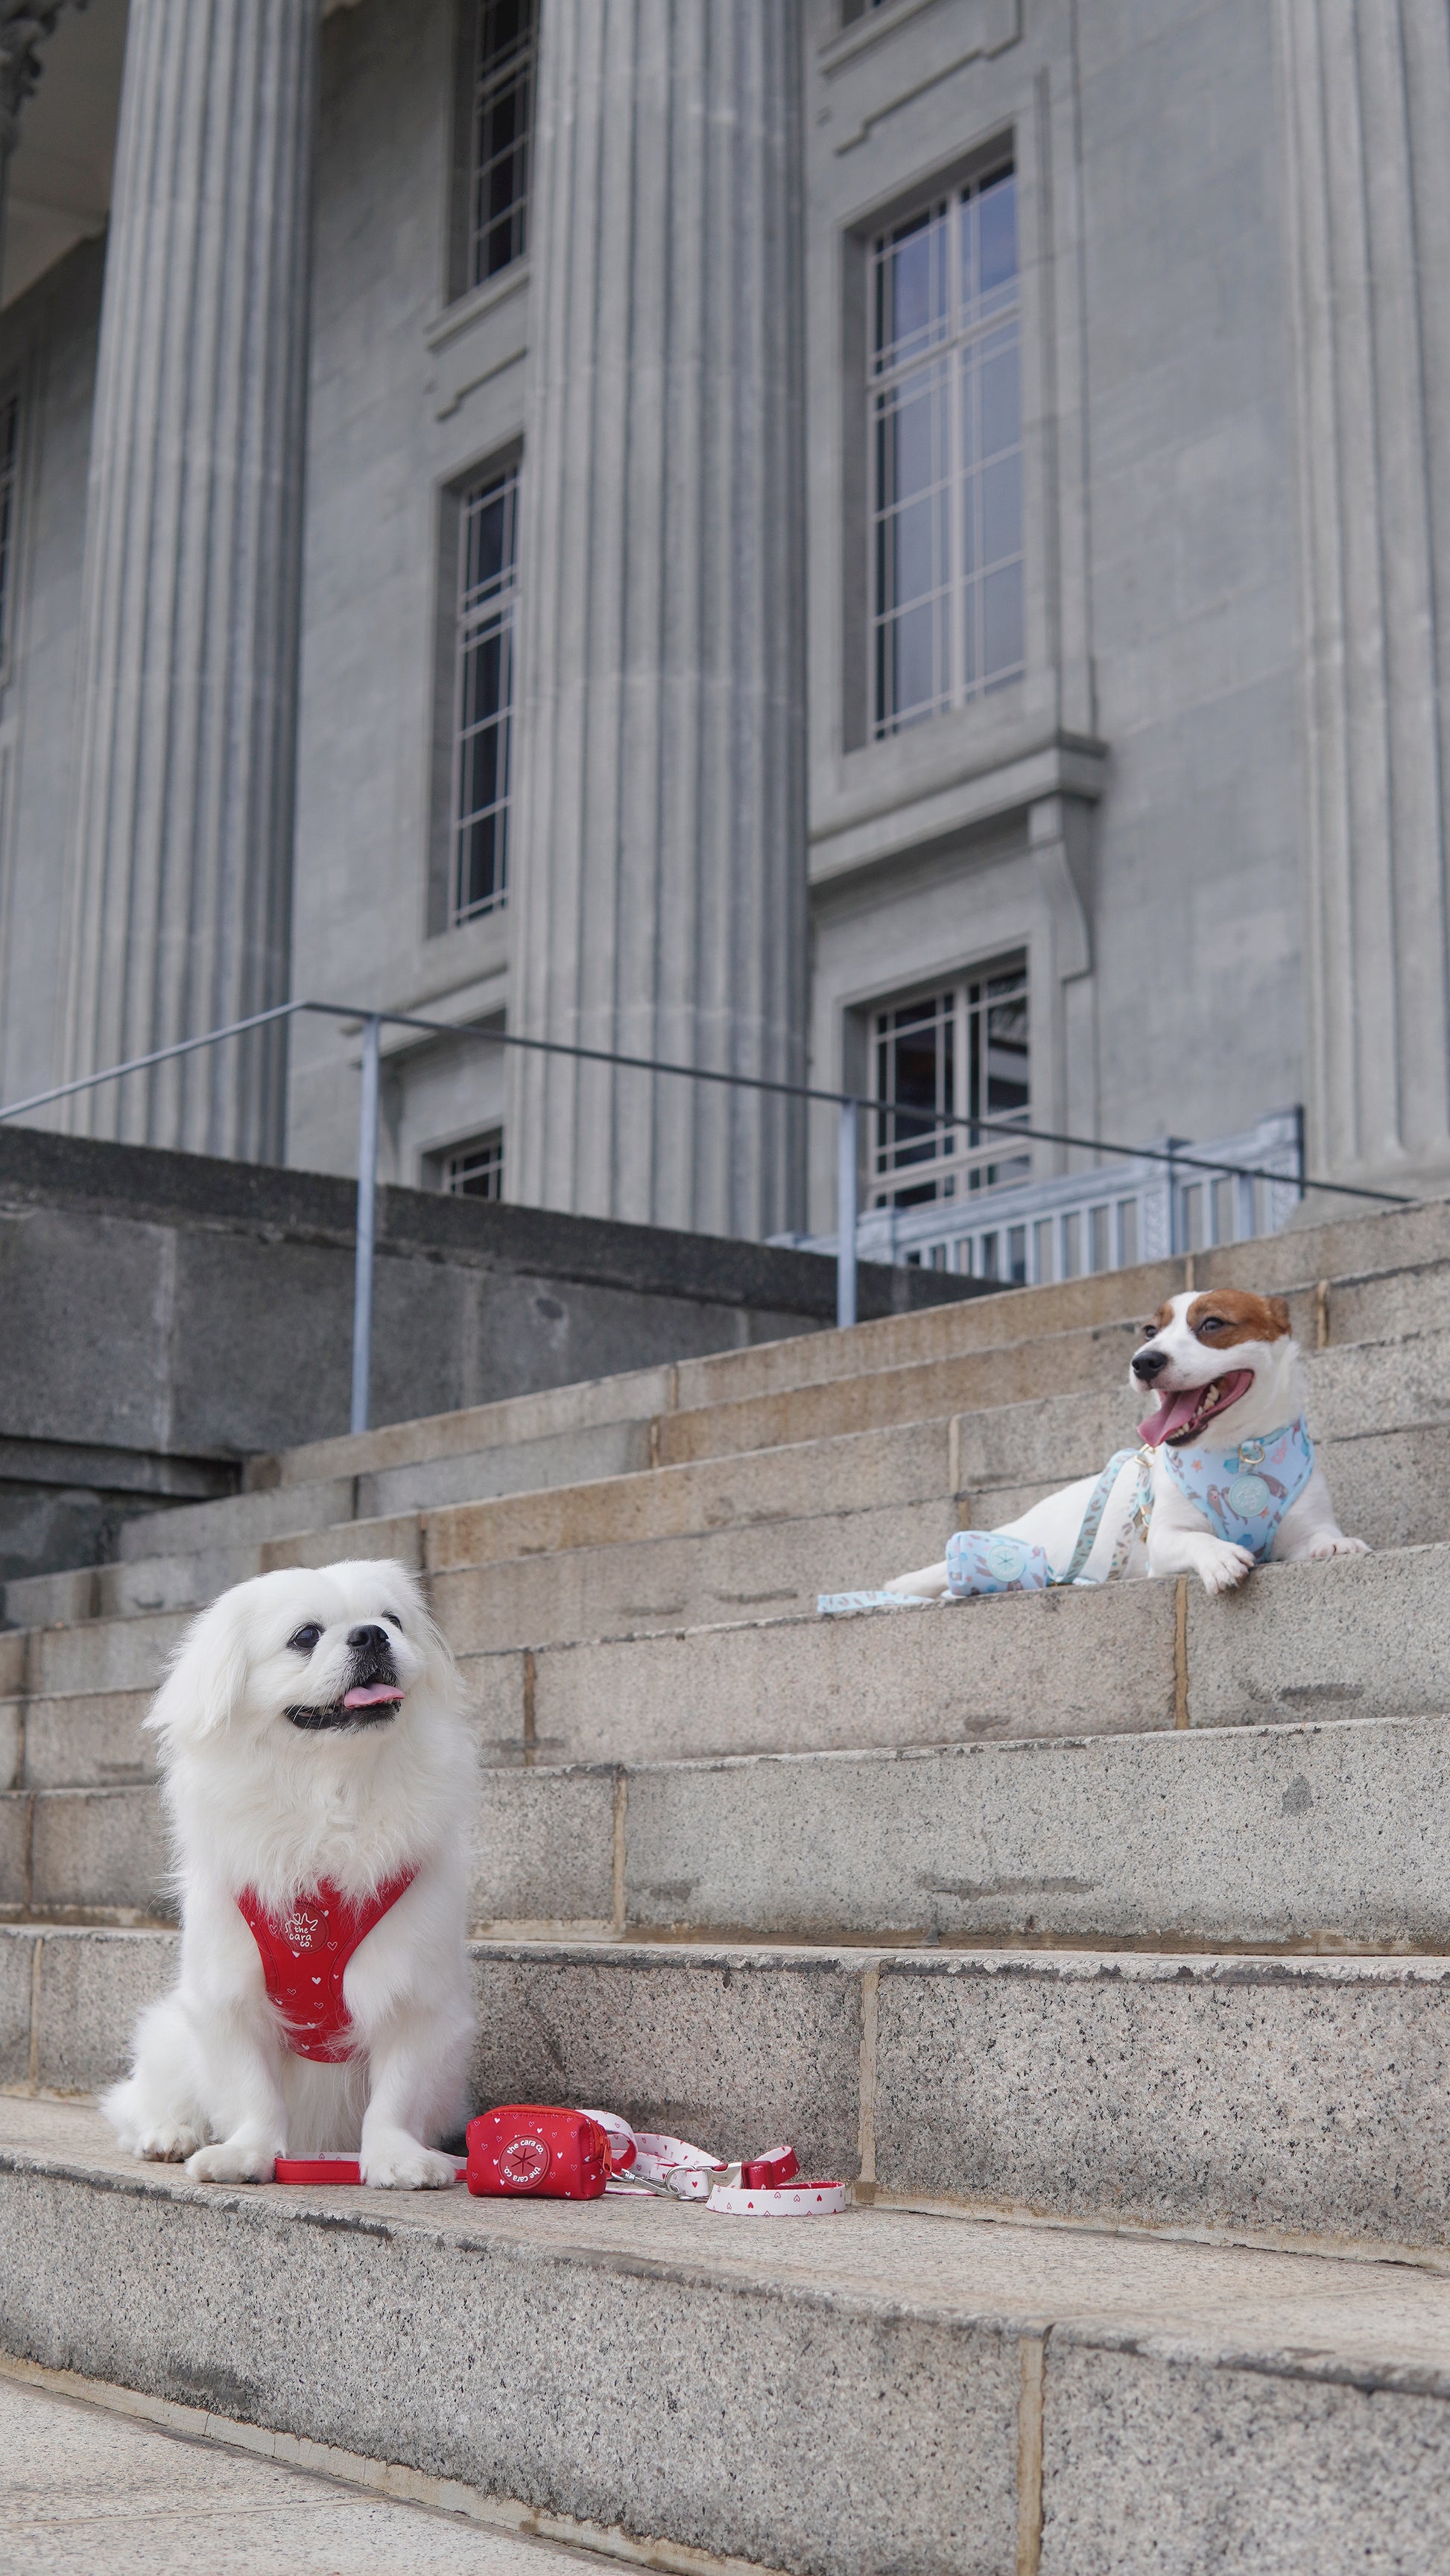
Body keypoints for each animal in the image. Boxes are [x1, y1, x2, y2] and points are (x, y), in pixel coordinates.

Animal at [109, 1555, 481, 2184]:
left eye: (392, 1620)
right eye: (306, 1636)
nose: (370, 1634)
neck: (332, 1791)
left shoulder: (415, 1997)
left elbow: (396, 2095)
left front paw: (396, 2160)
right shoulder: (231, 2000)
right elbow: (254, 2094)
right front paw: (248, 2156)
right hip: (171, 2036)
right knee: (141, 2102)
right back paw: (171, 2135)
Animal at [886, 1298, 1370, 1596]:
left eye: (1212, 1324)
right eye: (1149, 1331)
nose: (1145, 1361)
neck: (1239, 1451)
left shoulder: (1305, 1524)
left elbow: (1320, 1535)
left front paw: (1337, 1545)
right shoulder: (1162, 1541)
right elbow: (1194, 1540)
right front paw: (1219, 1556)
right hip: (1030, 1543)